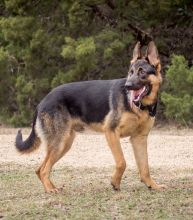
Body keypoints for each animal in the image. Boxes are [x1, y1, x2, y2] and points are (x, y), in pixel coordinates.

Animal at [15, 41, 165, 192]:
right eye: (131, 72)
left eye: (142, 72)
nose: (127, 86)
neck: (140, 106)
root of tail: (42, 101)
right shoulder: (111, 132)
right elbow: (122, 162)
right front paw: (115, 182)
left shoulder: (139, 139)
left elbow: (145, 167)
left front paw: (152, 185)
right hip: (59, 143)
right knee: (43, 169)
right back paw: (50, 189)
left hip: (64, 144)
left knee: (40, 169)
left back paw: (51, 187)